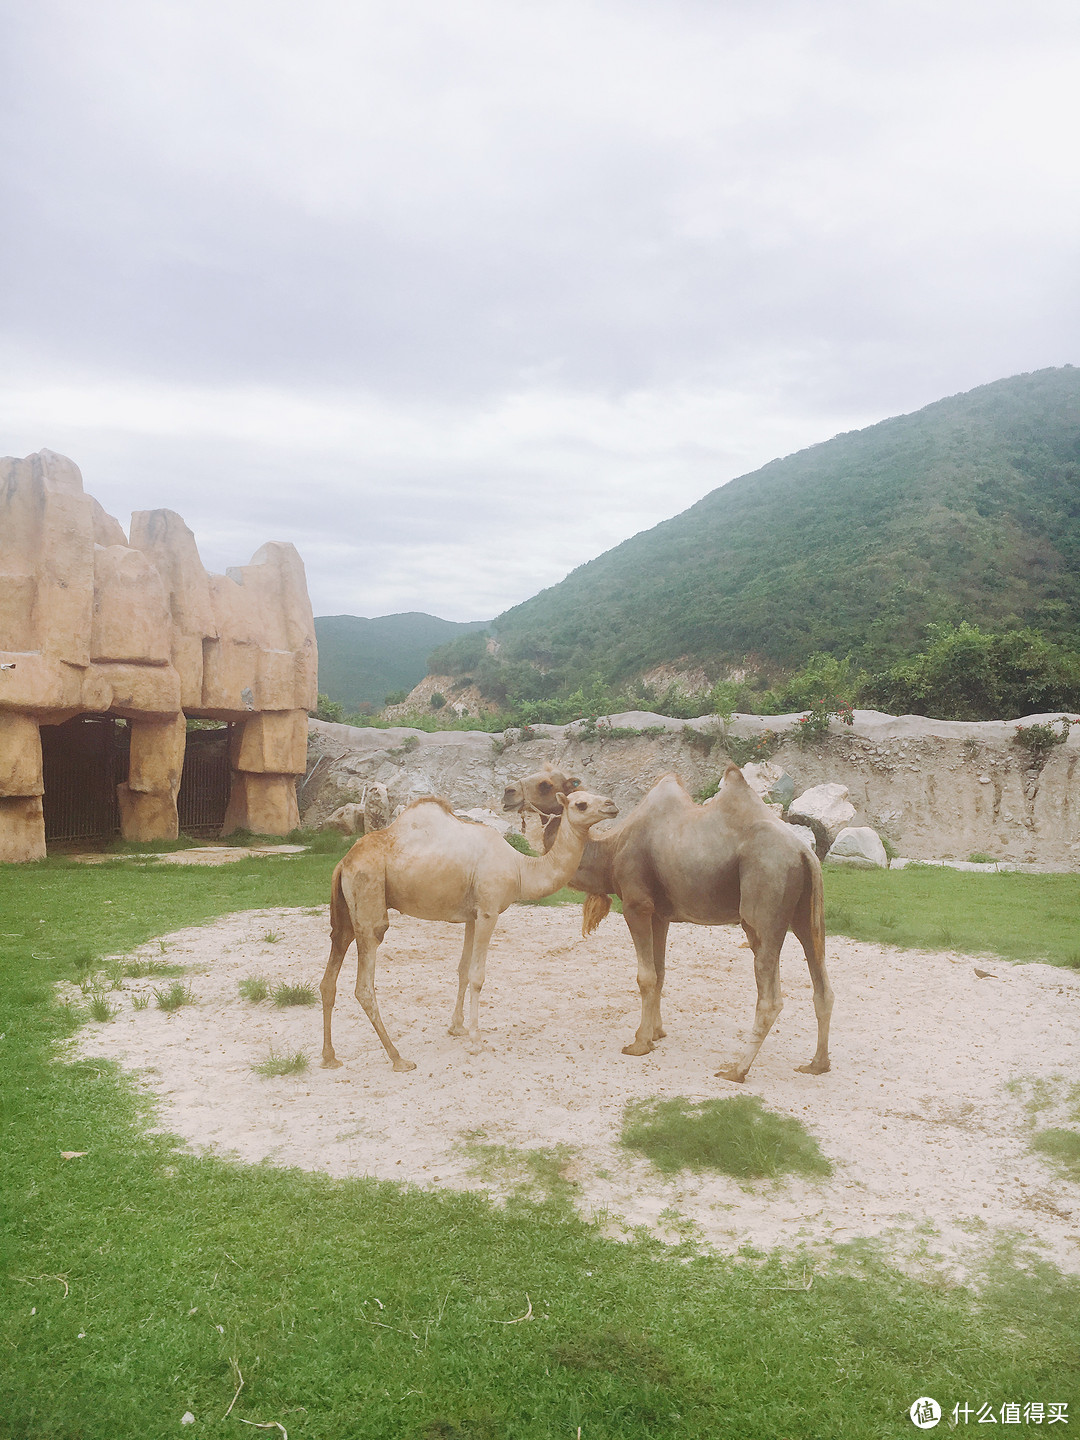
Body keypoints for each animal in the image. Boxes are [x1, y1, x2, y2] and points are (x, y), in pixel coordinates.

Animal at [319, 789, 616, 1071]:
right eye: (580, 804)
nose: (612, 805)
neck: (521, 869)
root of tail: (343, 863)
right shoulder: (488, 911)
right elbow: (477, 976)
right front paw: (476, 1041)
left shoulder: (472, 915)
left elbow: (462, 970)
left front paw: (457, 1027)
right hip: (368, 896)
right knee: (364, 984)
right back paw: (398, 1059)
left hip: (346, 913)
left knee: (330, 975)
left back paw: (329, 1057)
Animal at [504, 766, 835, 1082]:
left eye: (545, 785)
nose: (508, 792)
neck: (611, 852)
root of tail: (804, 852)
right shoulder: (660, 914)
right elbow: (660, 973)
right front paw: (656, 1032)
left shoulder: (636, 905)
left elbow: (646, 976)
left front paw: (639, 1043)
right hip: (804, 916)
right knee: (823, 985)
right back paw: (817, 1064)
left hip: (763, 908)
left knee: (770, 999)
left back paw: (736, 1071)